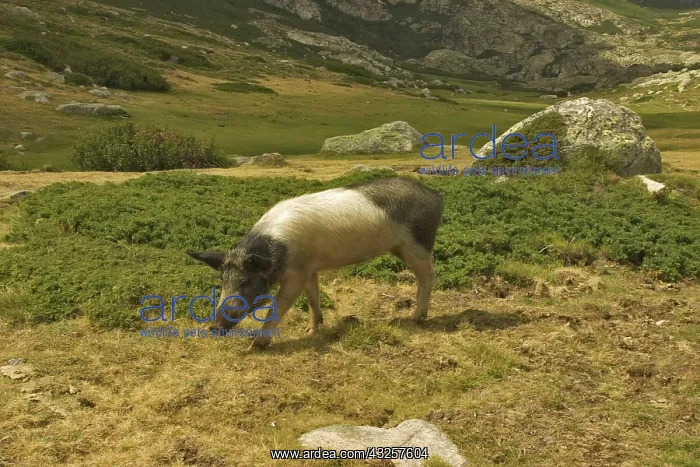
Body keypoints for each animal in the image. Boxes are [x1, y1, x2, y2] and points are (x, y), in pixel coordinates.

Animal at [187, 176, 443, 350]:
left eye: (245, 282)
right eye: (222, 281)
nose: (213, 327)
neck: (280, 250)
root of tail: (435, 196)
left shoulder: (296, 273)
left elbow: (279, 305)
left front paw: (255, 346)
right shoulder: (309, 267)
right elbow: (312, 295)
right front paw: (311, 330)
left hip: (417, 244)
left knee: (429, 276)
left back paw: (416, 318)